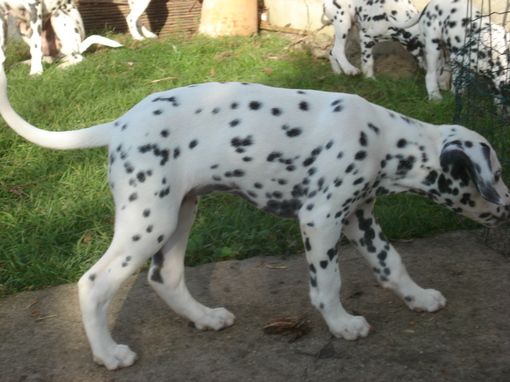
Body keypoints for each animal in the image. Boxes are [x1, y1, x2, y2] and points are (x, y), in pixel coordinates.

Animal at [1, 60, 508, 370]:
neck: (383, 138)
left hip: (181, 213)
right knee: (93, 283)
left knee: (165, 277)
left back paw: (205, 319)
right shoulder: (321, 217)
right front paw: (342, 324)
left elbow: (392, 264)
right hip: (149, 220)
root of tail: (120, 124)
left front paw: (418, 298)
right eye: (499, 174)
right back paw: (109, 354)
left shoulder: (359, 216)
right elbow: (328, 282)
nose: (508, 208)